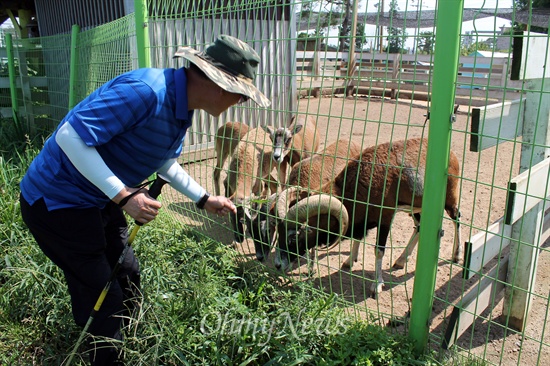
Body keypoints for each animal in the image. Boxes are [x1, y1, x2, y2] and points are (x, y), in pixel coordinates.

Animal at [274, 138, 464, 298]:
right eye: (279, 232)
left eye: (293, 237)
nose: (277, 265)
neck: (363, 182)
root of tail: (452, 155)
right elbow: (358, 238)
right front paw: (349, 262)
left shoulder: (385, 218)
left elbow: (378, 251)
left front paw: (376, 287)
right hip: (416, 208)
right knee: (419, 227)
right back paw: (400, 261)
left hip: (450, 200)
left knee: (457, 219)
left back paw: (457, 256)